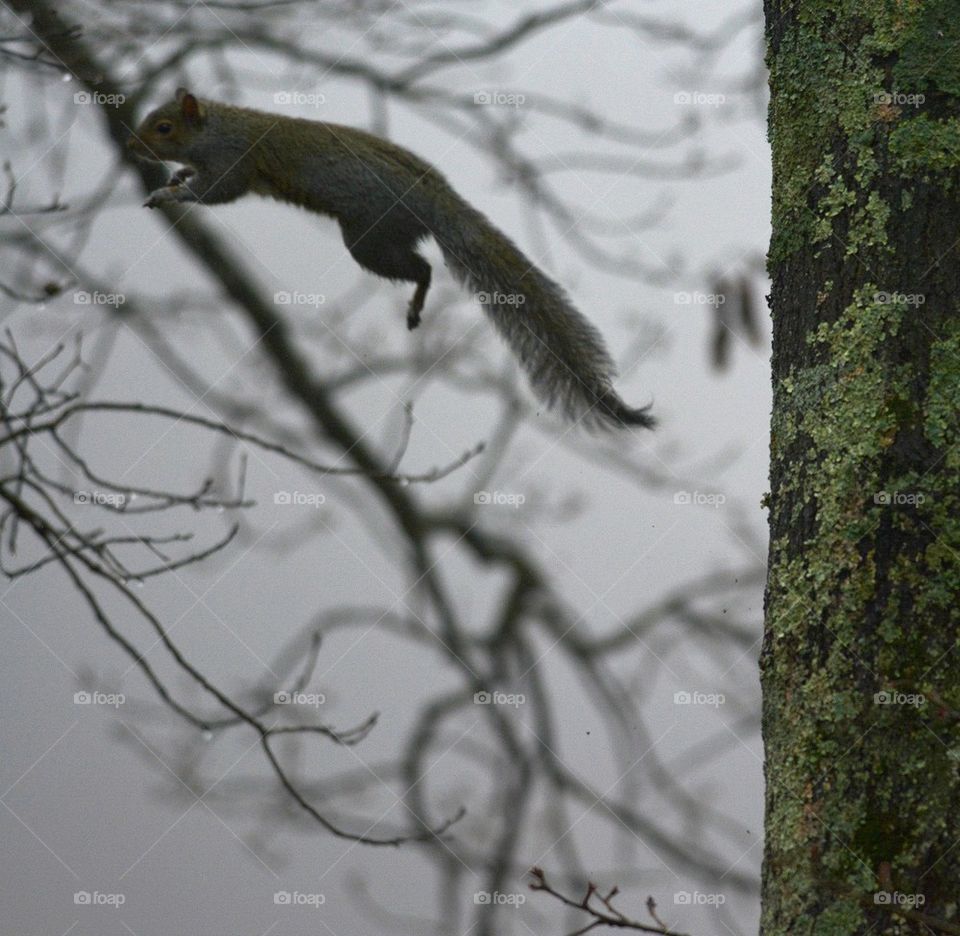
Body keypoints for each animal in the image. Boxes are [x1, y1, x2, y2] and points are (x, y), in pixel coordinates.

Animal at [128, 89, 654, 430]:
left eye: (164, 127)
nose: (132, 145)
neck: (219, 128)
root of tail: (436, 200)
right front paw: (176, 178)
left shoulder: (234, 163)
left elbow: (216, 192)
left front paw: (168, 194)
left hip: (368, 238)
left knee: (422, 269)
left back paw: (417, 305)